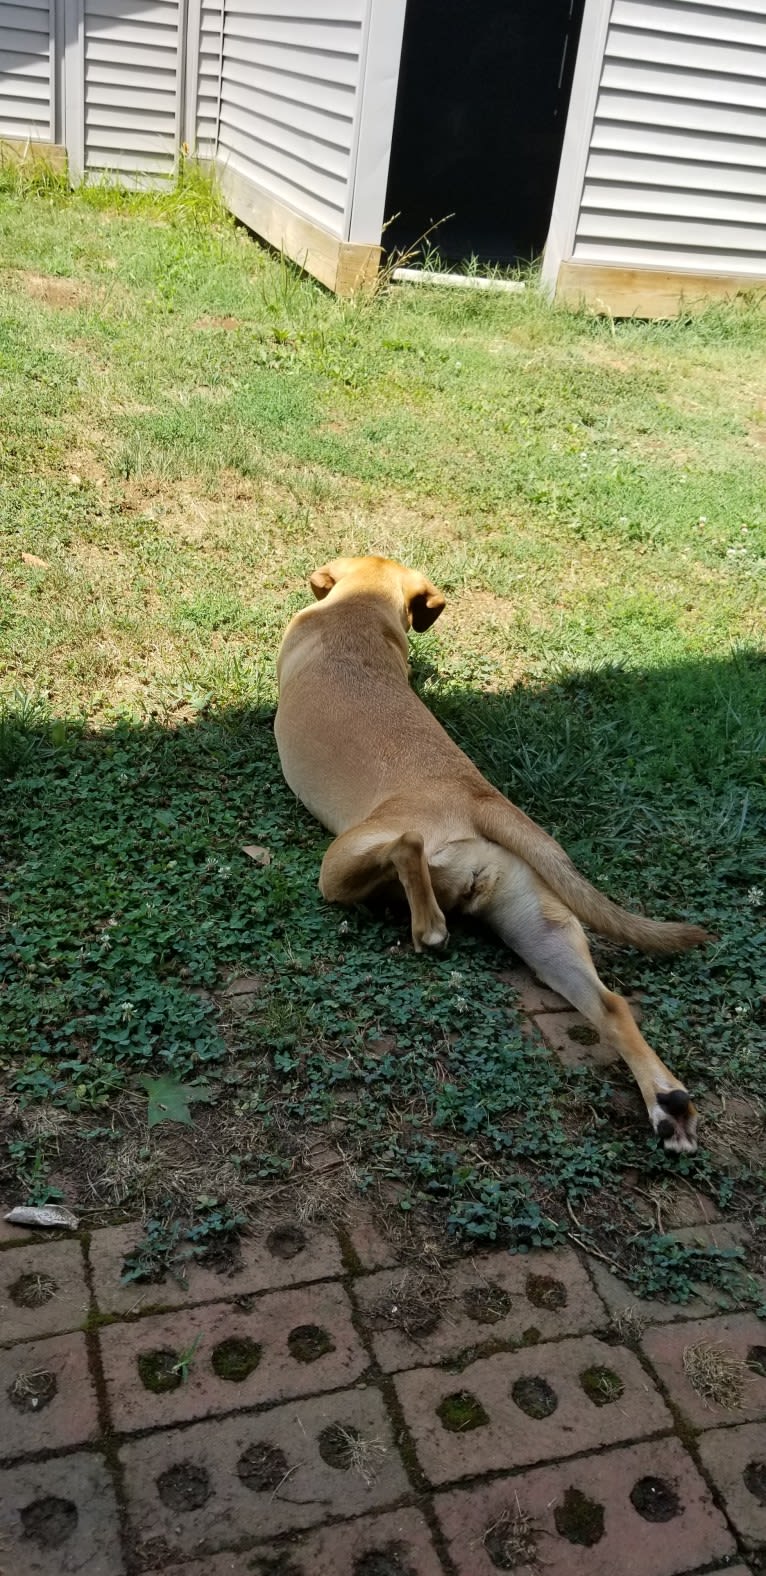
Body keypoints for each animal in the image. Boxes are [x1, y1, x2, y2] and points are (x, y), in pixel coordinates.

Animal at [274, 561, 706, 1153]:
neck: (357, 606)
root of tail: (478, 797)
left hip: (341, 862)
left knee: (406, 849)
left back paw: (428, 929)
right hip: (543, 927)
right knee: (612, 1006)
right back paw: (668, 1102)